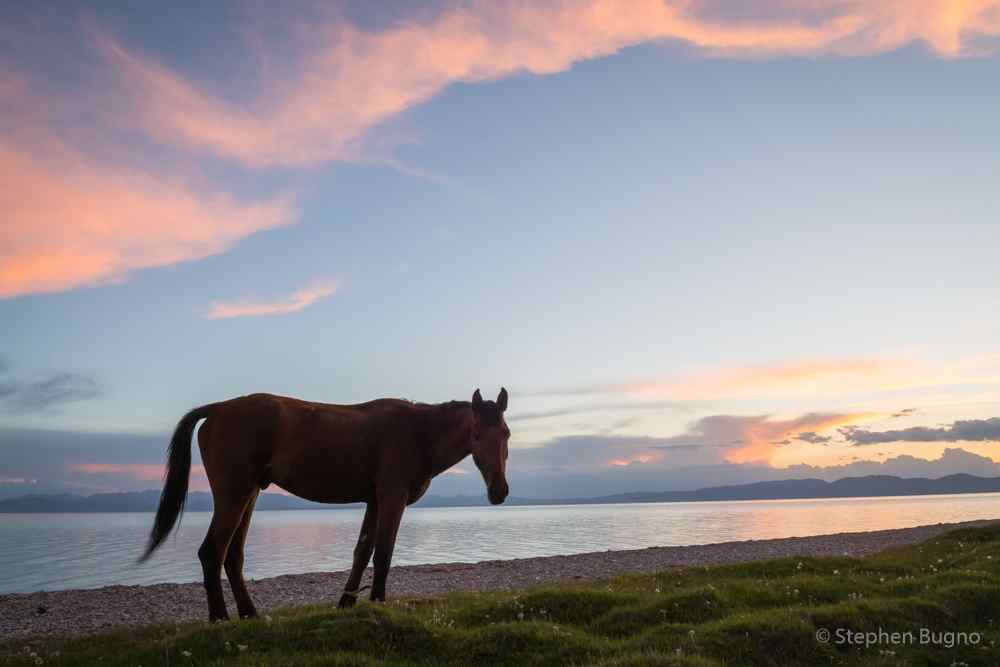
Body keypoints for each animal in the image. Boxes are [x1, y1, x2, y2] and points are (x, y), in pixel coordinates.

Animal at [142, 386, 512, 620]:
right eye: (477, 434)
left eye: (506, 434)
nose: (499, 491)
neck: (418, 432)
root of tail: (218, 408)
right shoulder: (392, 497)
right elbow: (384, 553)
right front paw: (378, 602)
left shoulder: (375, 500)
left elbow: (362, 552)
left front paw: (347, 603)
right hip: (233, 494)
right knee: (212, 552)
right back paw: (219, 618)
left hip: (249, 494)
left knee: (232, 556)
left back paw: (249, 614)